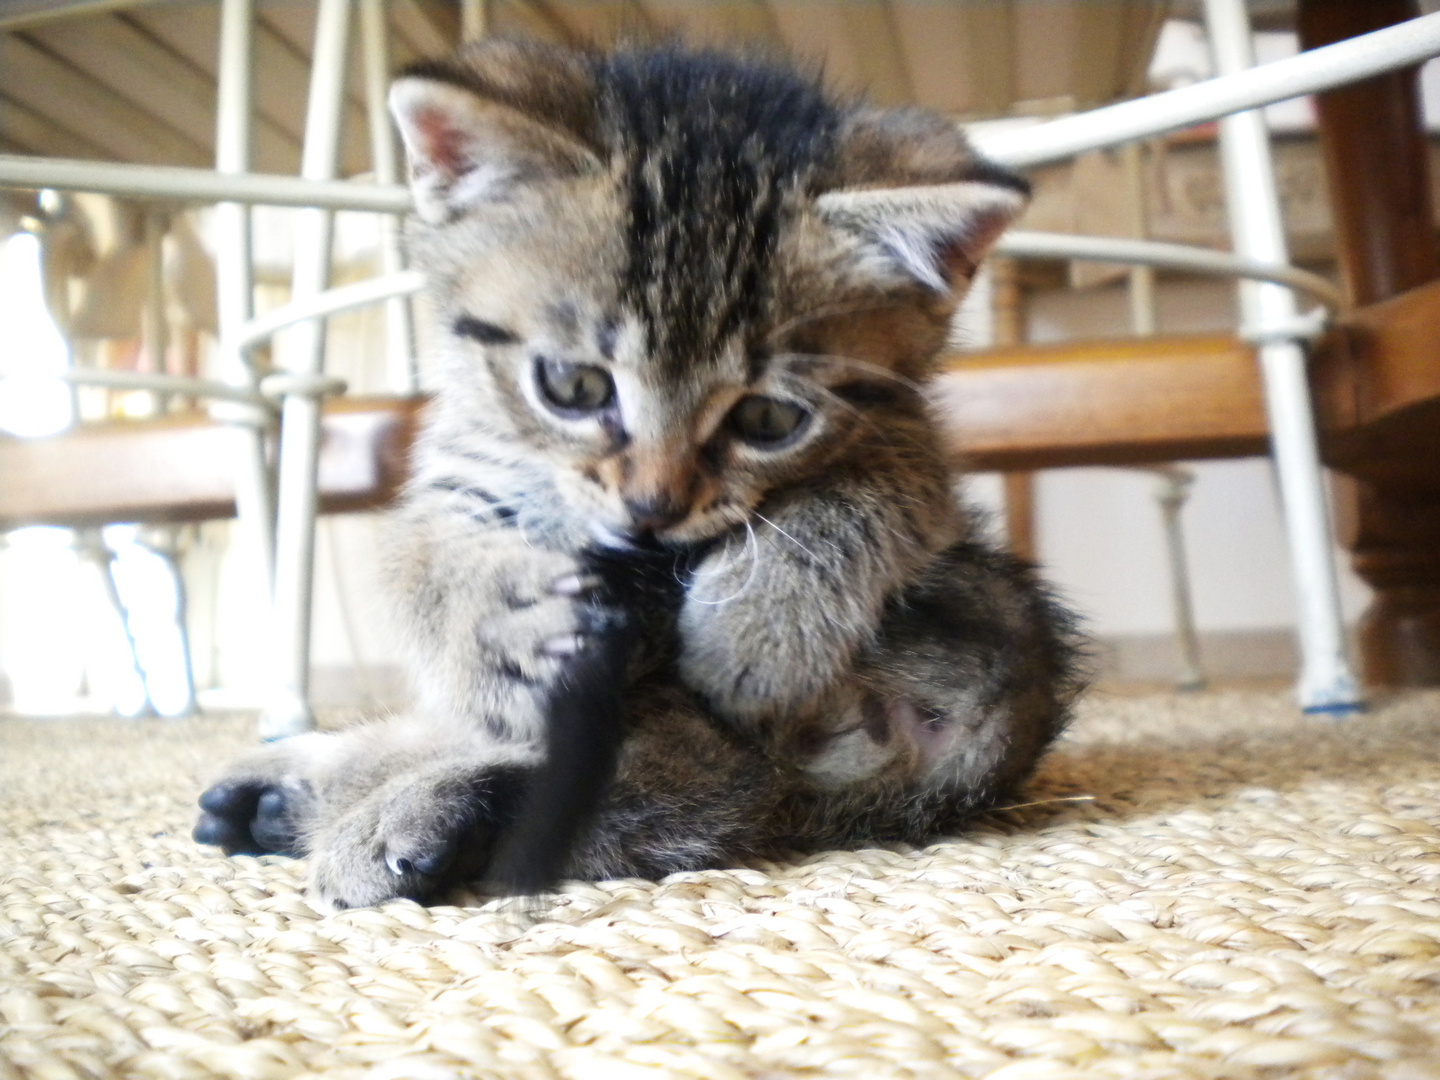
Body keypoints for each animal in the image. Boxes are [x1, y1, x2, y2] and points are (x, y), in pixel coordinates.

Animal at [197, 38, 1082, 910]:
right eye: (572, 385)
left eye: (769, 420)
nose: (654, 506)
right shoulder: (457, 471)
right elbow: (426, 567)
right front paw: (498, 624)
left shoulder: (908, 431)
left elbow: (865, 490)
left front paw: (758, 627)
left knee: (666, 781)